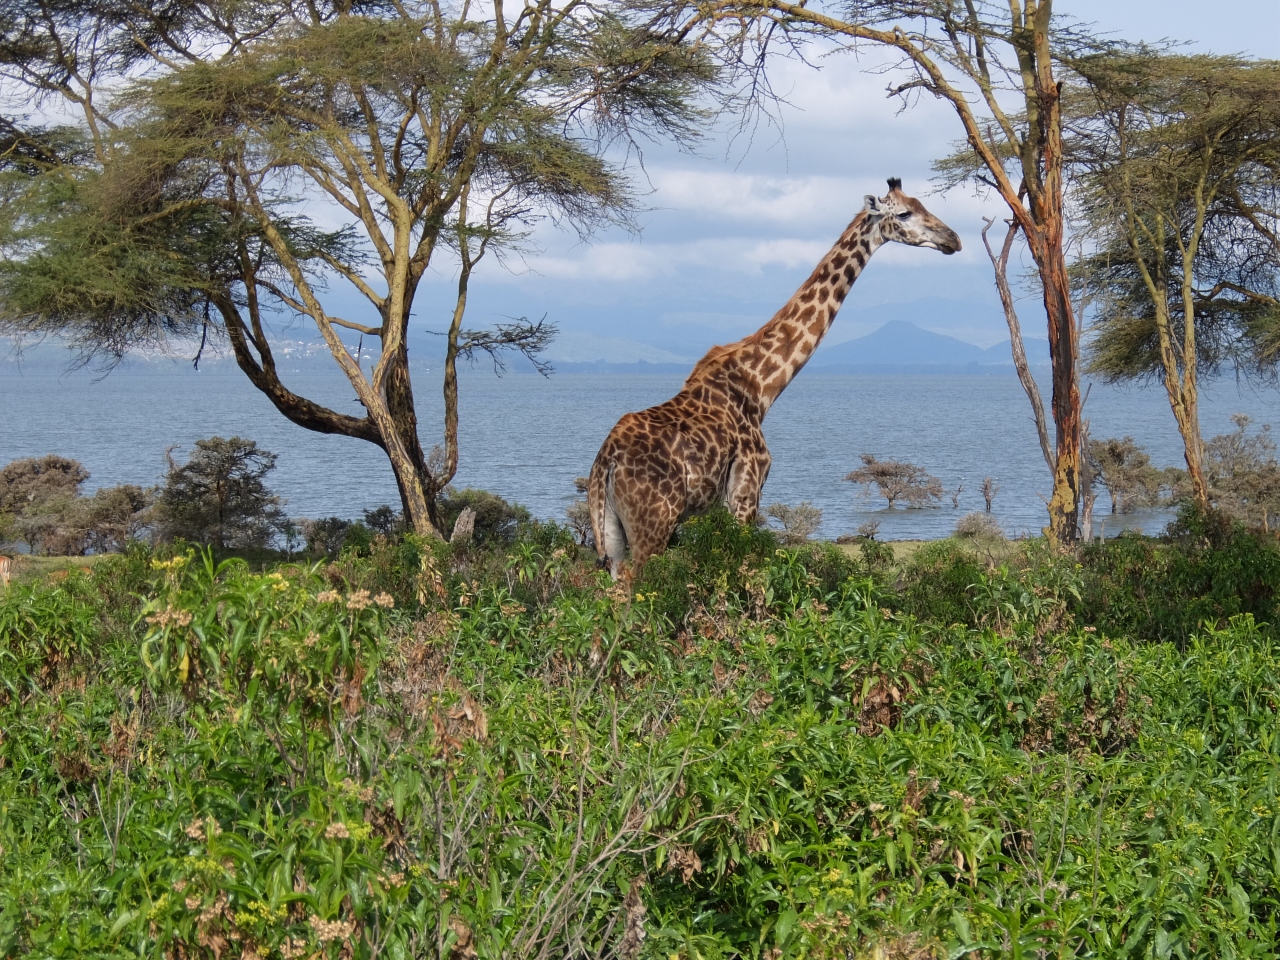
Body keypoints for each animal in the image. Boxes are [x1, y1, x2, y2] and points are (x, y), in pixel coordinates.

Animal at [588, 179, 962, 578]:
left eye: (923, 205)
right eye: (904, 213)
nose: (953, 239)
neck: (760, 387)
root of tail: (605, 462)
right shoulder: (747, 491)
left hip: (611, 534)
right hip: (653, 525)